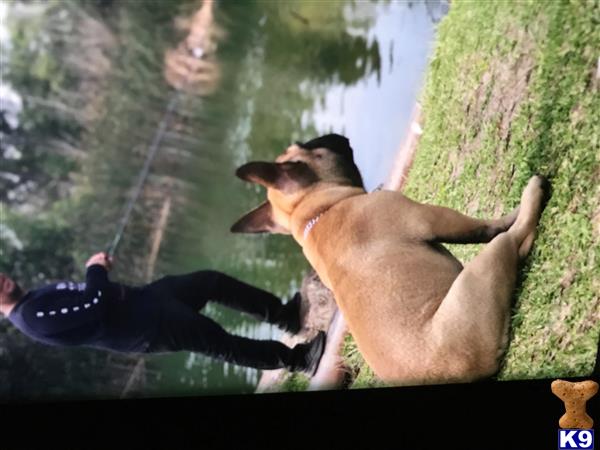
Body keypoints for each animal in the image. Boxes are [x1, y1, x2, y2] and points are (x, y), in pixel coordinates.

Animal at [231, 134, 548, 386]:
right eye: (307, 145)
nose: (336, 136)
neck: (318, 210)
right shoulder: (432, 217)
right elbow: (483, 226)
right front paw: (509, 215)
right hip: (482, 272)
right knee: (511, 238)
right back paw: (532, 194)